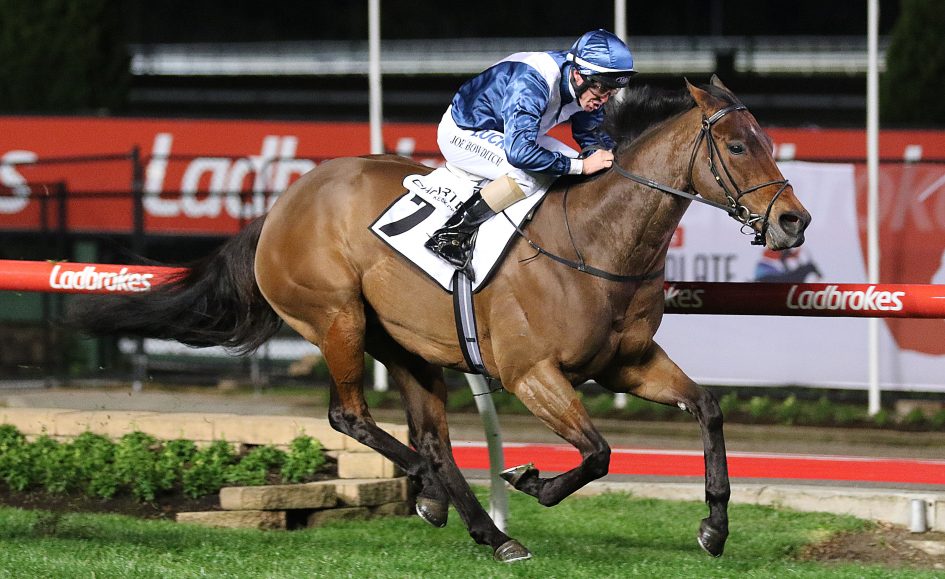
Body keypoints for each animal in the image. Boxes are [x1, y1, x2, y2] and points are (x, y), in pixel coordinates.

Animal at [68, 76, 810, 563]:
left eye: (767, 140)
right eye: (738, 147)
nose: (792, 221)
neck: (595, 238)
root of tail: (281, 205)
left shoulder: (626, 363)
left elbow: (707, 407)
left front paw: (714, 527)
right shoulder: (531, 373)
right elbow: (598, 451)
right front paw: (533, 481)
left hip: (408, 347)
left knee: (430, 439)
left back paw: (480, 524)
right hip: (337, 319)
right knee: (352, 417)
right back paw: (444, 499)